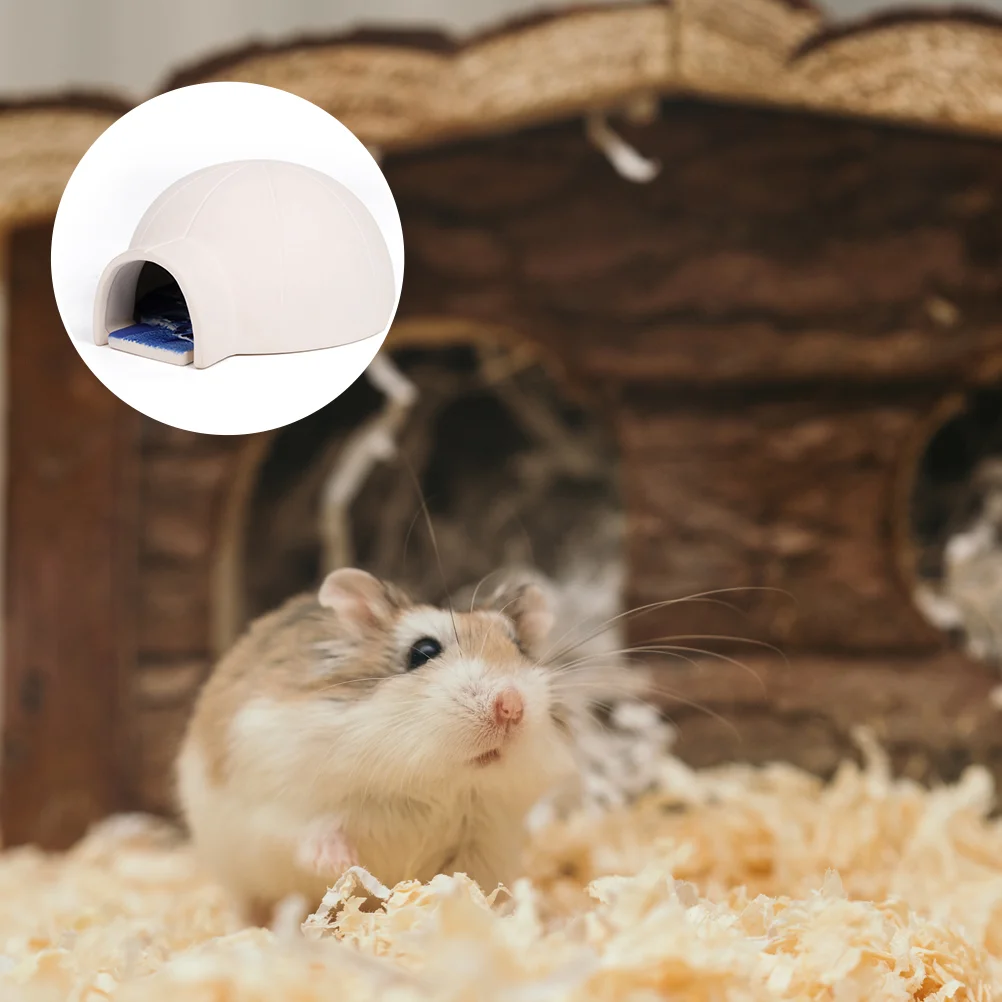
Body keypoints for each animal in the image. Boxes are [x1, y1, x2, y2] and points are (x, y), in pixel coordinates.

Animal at [175, 567, 597, 925]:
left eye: (519, 648)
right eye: (423, 651)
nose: (511, 706)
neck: (435, 782)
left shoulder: (486, 840)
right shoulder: (281, 797)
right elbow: (310, 831)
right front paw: (339, 864)